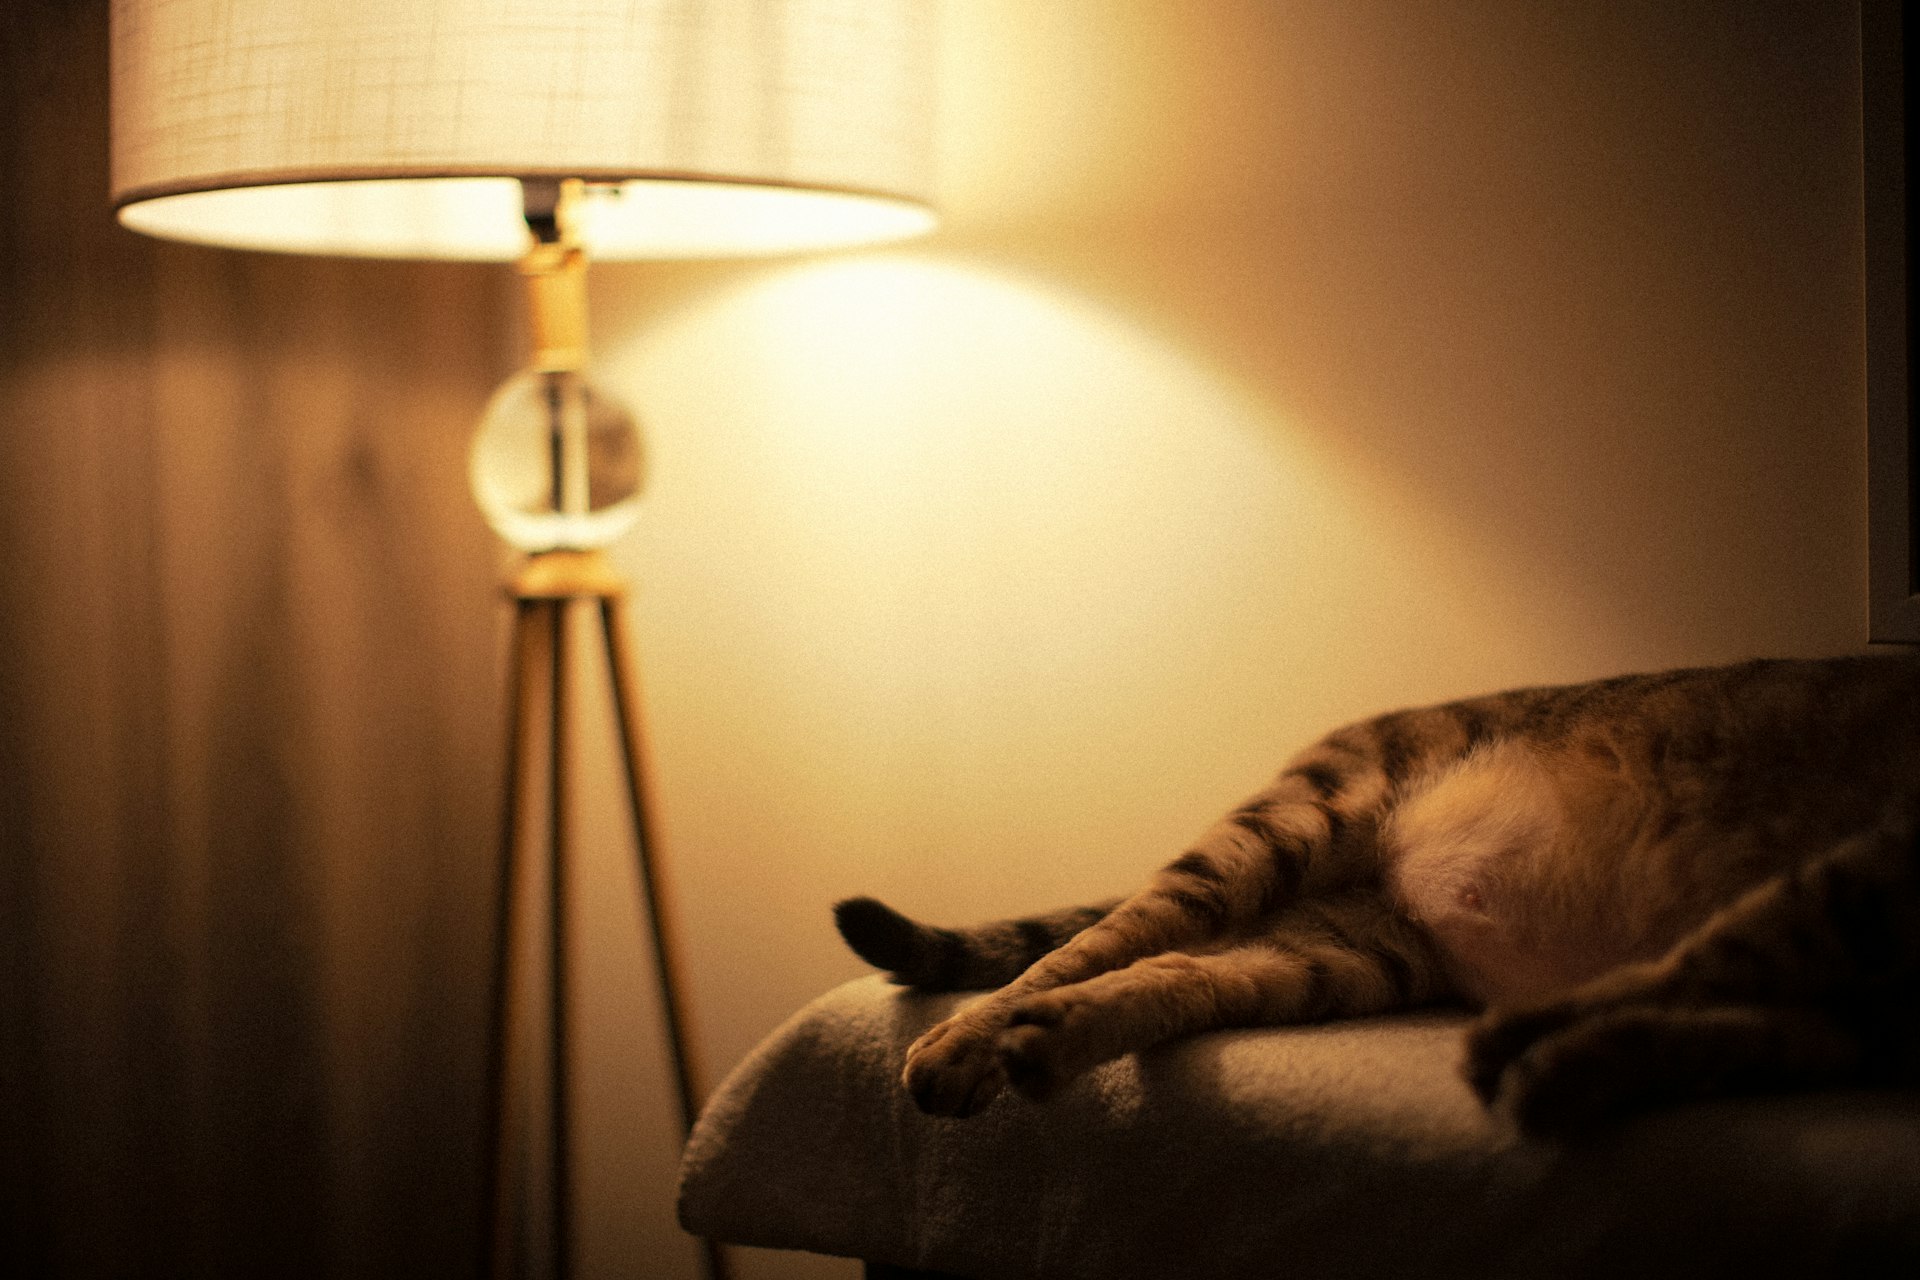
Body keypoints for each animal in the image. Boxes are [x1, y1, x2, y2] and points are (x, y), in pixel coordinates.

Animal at [837, 656, 1920, 1136]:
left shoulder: (1845, 1016)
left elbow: (1724, 1027)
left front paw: (1573, 1068)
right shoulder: (1864, 867)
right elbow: (1714, 958)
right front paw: (1533, 1047)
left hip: (1345, 953)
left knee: (1176, 967)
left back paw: (1046, 1040)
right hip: (1294, 822)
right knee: (1106, 936)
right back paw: (965, 1042)